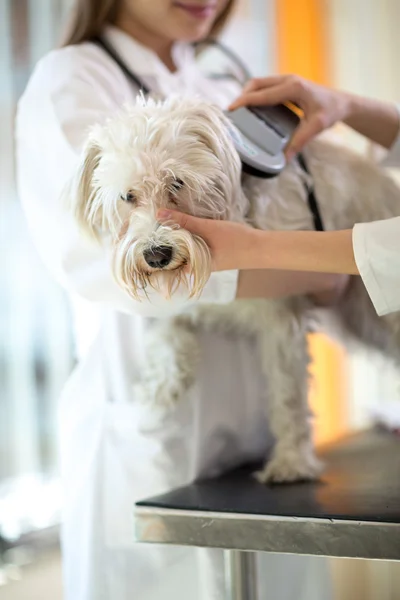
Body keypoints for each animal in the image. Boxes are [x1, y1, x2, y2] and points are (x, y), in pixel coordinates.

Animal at [68, 96, 400, 486]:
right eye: (127, 196)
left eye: (177, 182)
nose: (156, 255)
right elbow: (166, 331)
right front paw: (162, 384)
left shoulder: (281, 318)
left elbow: (288, 396)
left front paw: (292, 460)